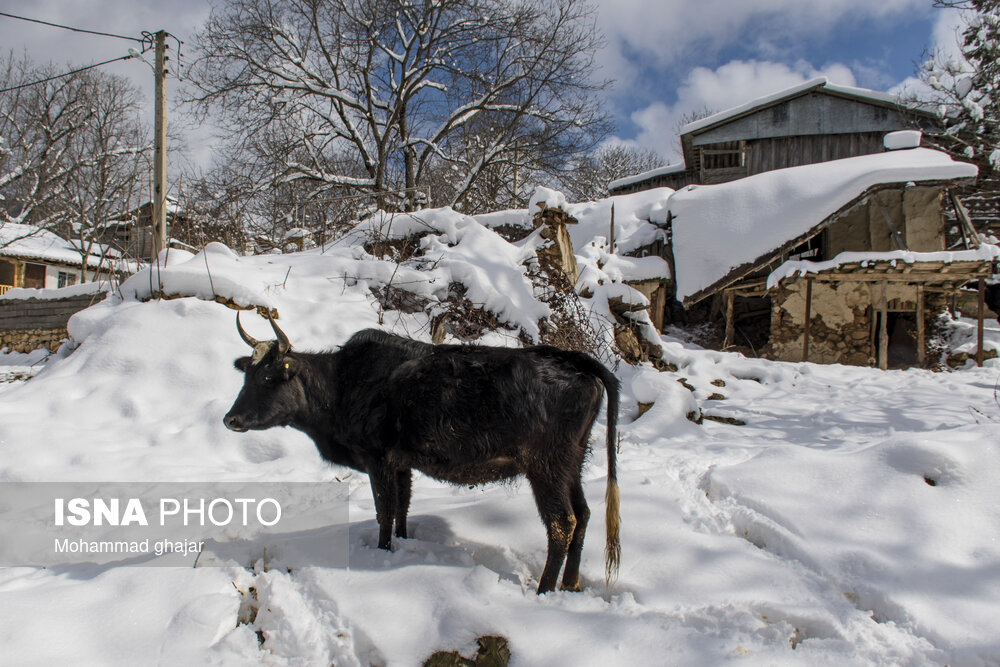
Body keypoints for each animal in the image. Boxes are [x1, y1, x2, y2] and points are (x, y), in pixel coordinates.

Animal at [223, 314, 620, 596]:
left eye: (269, 378)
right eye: (247, 377)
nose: (230, 420)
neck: (341, 387)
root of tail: (573, 360)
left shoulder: (378, 459)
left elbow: (384, 510)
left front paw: (382, 553)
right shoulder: (402, 464)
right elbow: (403, 506)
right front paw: (403, 543)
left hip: (546, 466)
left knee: (562, 523)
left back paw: (544, 591)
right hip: (572, 462)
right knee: (584, 514)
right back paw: (570, 584)